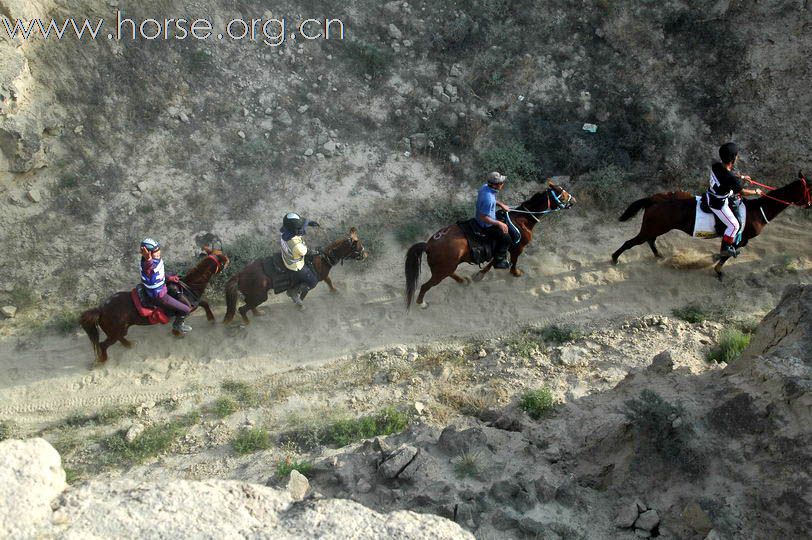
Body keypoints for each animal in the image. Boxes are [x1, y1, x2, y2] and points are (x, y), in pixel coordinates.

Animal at [79, 246, 230, 362]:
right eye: (223, 259)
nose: (229, 259)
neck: (189, 285)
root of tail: (100, 309)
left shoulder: (194, 302)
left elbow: (204, 303)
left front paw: (210, 319)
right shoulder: (187, 308)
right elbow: (196, 308)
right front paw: (180, 331)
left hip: (120, 330)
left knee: (119, 338)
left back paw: (129, 345)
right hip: (115, 332)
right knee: (103, 345)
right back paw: (102, 360)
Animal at [225, 228, 372, 324]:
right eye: (359, 247)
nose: (366, 254)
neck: (322, 259)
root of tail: (239, 275)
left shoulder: (320, 276)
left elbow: (328, 281)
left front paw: (333, 291)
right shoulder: (311, 282)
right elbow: (304, 294)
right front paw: (300, 305)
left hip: (254, 296)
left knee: (249, 306)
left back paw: (258, 314)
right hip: (260, 296)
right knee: (242, 309)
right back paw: (247, 322)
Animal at [402, 181, 576, 310]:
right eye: (562, 193)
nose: (573, 200)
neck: (522, 220)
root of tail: (429, 245)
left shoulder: (501, 248)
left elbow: (493, 261)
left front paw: (480, 275)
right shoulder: (517, 248)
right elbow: (513, 261)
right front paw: (515, 273)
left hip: (446, 267)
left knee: (449, 274)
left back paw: (463, 281)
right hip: (442, 270)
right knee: (425, 286)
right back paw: (422, 303)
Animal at [612, 171, 808, 278]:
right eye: (810, 189)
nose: (809, 205)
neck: (757, 209)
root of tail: (654, 199)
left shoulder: (739, 238)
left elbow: (727, 250)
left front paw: (716, 261)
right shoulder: (738, 236)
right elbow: (728, 252)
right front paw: (718, 269)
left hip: (657, 227)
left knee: (650, 240)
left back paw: (659, 255)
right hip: (654, 227)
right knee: (632, 242)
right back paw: (614, 258)